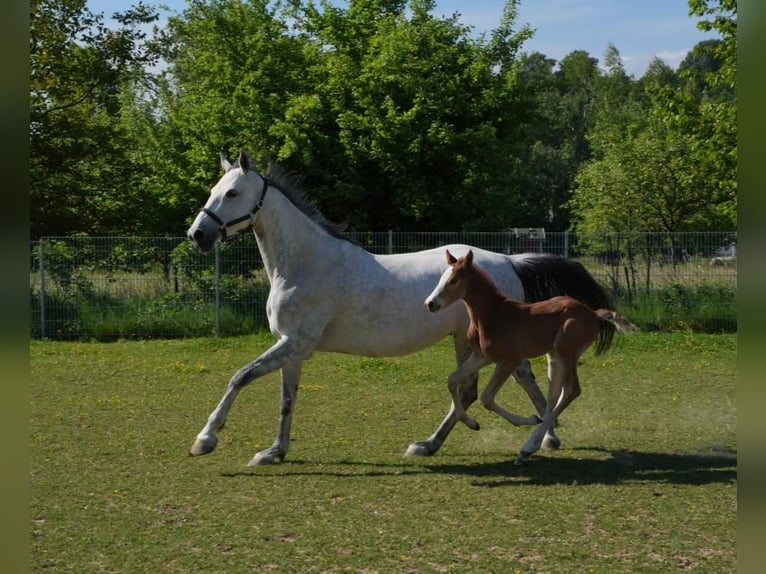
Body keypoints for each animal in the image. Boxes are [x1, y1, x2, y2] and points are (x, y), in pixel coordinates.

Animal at [186, 149, 616, 466]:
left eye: (232, 193)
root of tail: (510, 261)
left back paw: (540, 435)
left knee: (505, 381)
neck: (304, 265)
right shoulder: (292, 348)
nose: (198, 234)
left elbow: (240, 377)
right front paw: (274, 451)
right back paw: (440, 443)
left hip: (483, 342)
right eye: (214, 189)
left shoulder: (295, 344)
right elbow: (286, 401)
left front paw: (205, 439)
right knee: (480, 389)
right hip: (467, 340)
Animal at [424, 249, 638, 464]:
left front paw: (527, 419)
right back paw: (533, 444)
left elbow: (487, 398)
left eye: (453, 280)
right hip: (554, 357)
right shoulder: (482, 356)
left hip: (566, 353)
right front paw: (471, 423)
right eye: (441, 278)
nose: (430, 303)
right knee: (555, 394)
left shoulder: (509, 361)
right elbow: (452, 380)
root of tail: (593, 313)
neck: (492, 314)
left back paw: (528, 447)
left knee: (571, 391)